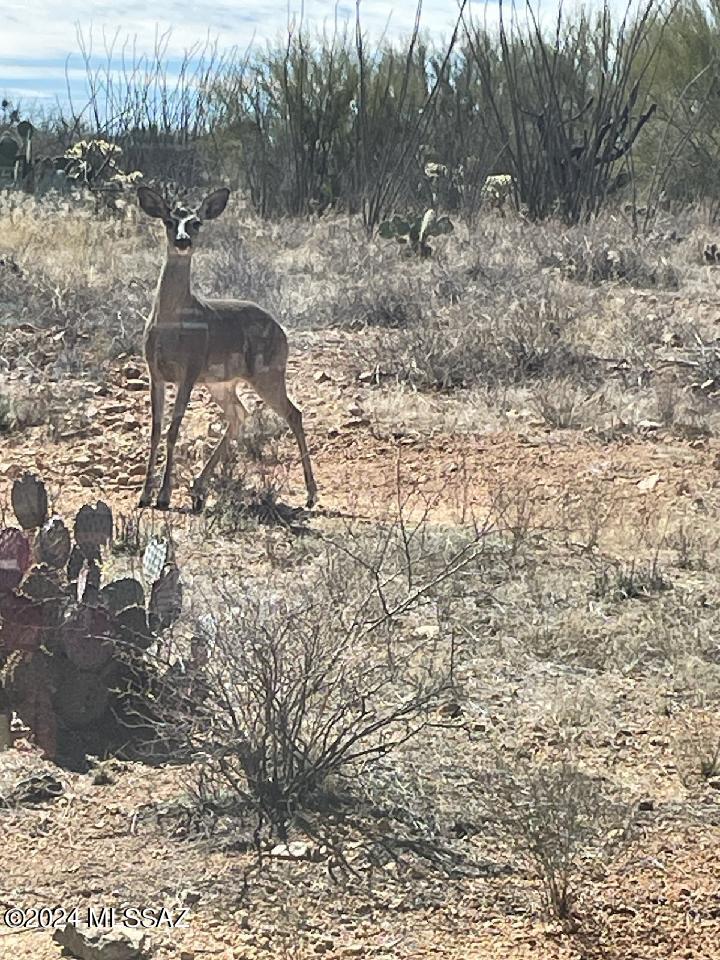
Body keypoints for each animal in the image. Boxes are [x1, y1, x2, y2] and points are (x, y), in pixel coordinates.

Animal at [136, 186, 316, 510]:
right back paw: (198, 488)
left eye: (196, 222)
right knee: (239, 415)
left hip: (268, 372)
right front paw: (144, 495)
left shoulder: (189, 370)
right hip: (222, 382)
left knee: (293, 413)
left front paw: (164, 496)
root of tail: (282, 331)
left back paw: (311, 494)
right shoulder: (155, 372)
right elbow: (156, 431)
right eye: (169, 221)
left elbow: (173, 430)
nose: (183, 241)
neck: (172, 322)